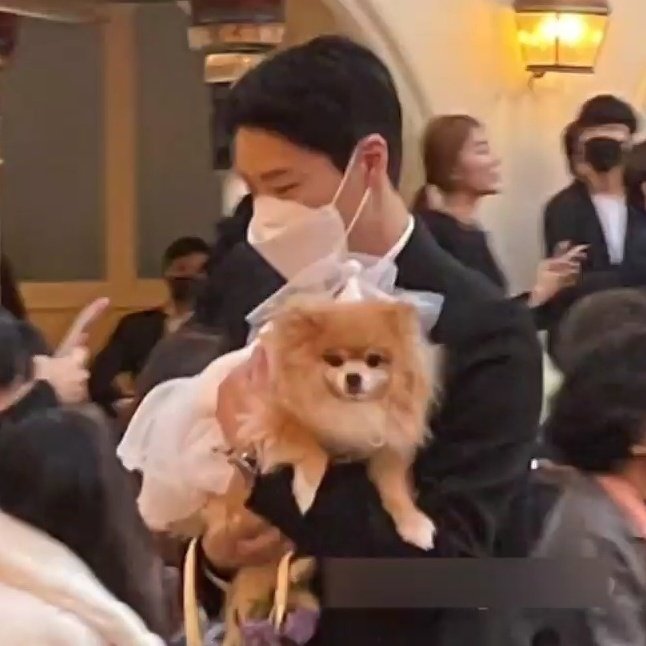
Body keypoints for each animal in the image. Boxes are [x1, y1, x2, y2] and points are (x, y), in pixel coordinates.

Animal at [241, 297, 441, 551]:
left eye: (374, 360)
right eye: (334, 360)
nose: (353, 377)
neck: (349, 410)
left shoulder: (388, 448)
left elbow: (394, 488)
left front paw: (413, 522)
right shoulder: (275, 417)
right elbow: (313, 449)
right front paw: (305, 491)